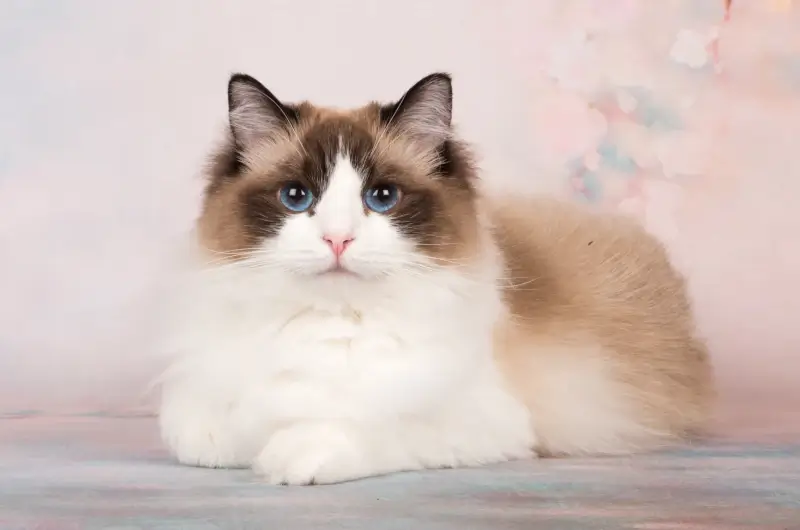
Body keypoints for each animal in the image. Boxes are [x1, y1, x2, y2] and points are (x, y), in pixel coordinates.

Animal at [156, 72, 712, 484]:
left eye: (381, 197)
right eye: (296, 197)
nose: (338, 239)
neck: (330, 325)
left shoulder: (479, 422)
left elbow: (361, 425)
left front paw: (285, 456)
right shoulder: (203, 410)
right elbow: (202, 433)